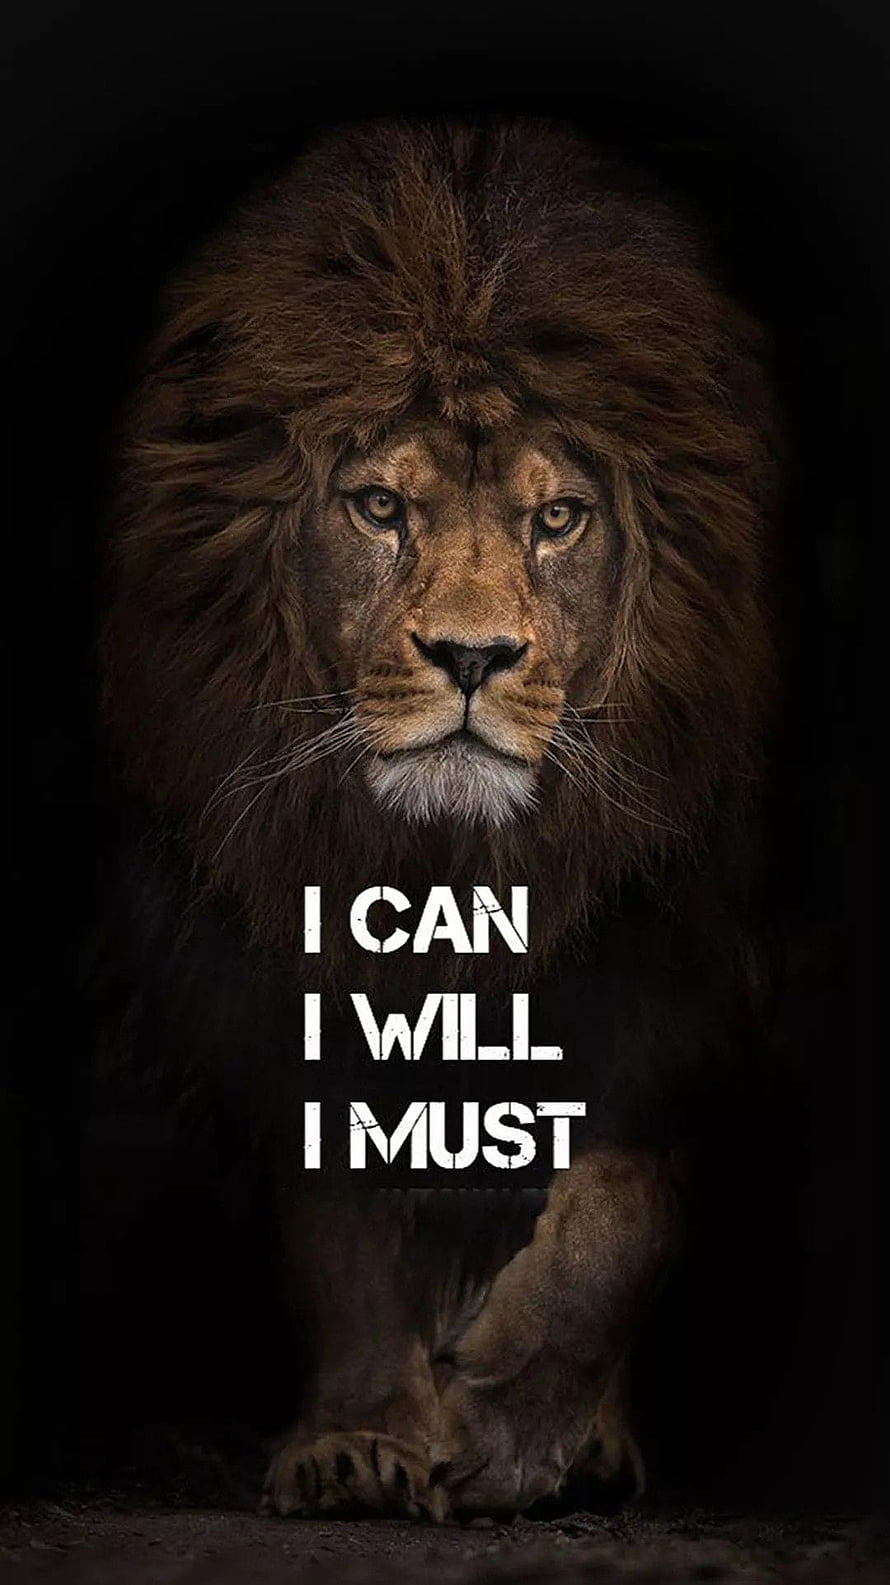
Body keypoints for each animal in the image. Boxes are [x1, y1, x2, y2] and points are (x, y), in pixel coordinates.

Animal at [99, 117, 777, 1520]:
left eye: (557, 518)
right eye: (379, 506)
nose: (471, 656)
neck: (453, 864)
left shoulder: (686, 965)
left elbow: (623, 1201)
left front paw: (517, 1425)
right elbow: (340, 1222)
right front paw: (363, 1438)